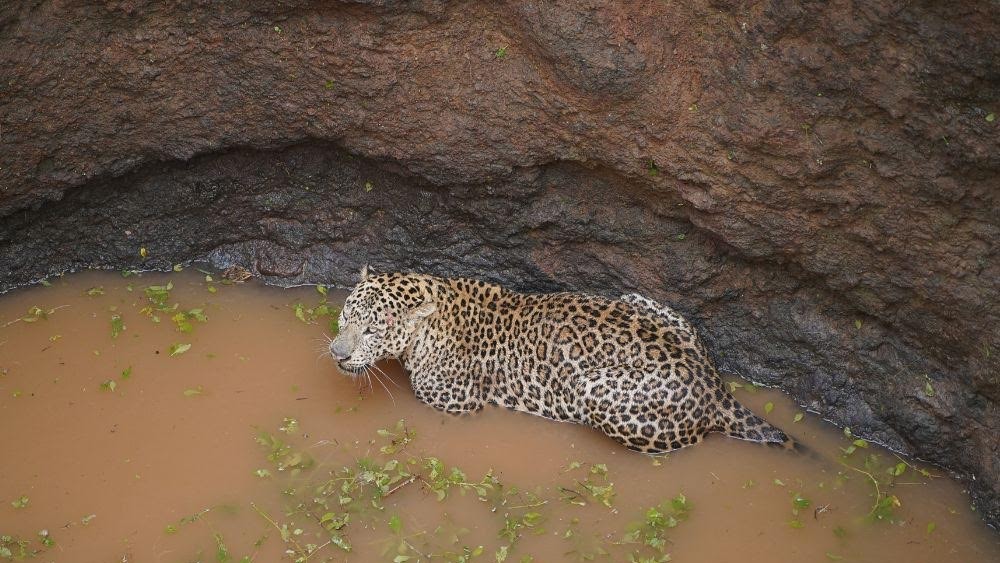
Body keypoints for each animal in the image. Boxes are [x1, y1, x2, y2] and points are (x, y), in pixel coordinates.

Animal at [329, 267, 790, 454]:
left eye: (372, 330)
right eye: (347, 315)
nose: (338, 353)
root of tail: (713, 383)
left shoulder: (457, 402)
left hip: (594, 390)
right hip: (636, 299)